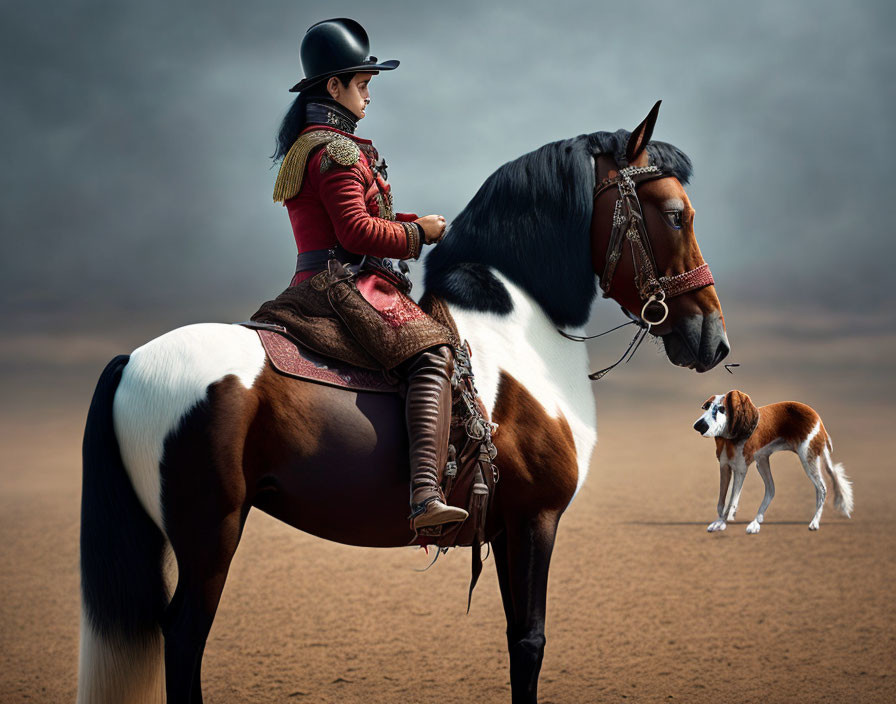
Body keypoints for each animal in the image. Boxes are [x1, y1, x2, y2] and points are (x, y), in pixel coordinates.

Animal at [79, 103, 728, 704]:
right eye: (676, 215)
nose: (713, 339)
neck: (521, 330)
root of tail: (133, 360)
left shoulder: (506, 528)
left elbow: (516, 637)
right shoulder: (535, 519)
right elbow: (530, 643)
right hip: (211, 535)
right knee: (184, 637)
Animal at [692, 390, 856, 532]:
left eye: (721, 409)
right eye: (707, 407)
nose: (698, 426)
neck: (730, 438)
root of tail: (818, 420)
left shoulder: (740, 469)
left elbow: (732, 500)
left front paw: (723, 522)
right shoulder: (724, 467)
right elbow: (721, 501)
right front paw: (719, 521)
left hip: (807, 460)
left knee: (822, 489)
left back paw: (814, 522)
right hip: (762, 461)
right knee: (771, 489)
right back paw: (756, 522)